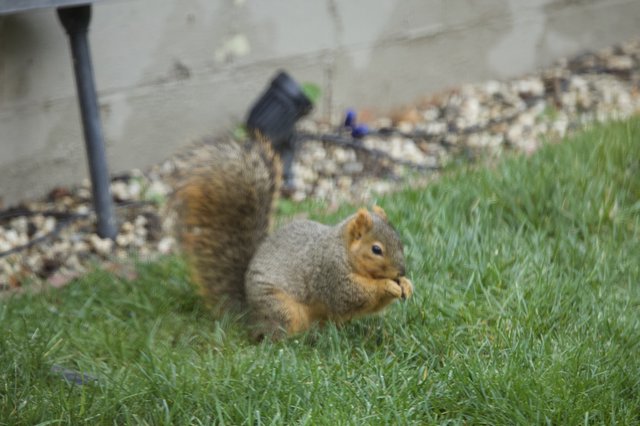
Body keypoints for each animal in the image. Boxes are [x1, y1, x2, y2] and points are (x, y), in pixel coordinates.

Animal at [174, 136, 413, 340]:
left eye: (399, 241)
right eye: (376, 249)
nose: (401, 271)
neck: (342, 250)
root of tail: (250, 316)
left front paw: (406, 284)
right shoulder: (330, 274)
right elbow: (350, 296)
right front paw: (387, 285)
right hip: (281, 307)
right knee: (276, 335)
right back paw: (299, 339)